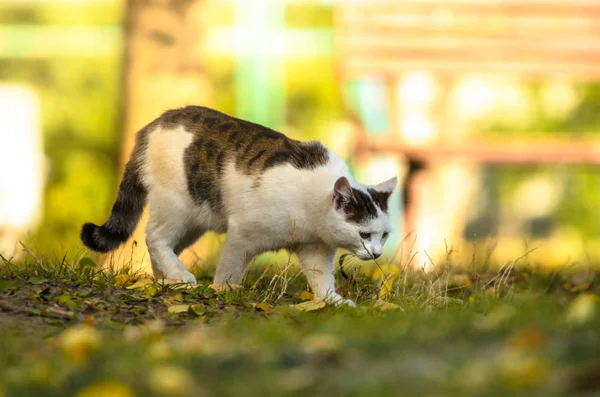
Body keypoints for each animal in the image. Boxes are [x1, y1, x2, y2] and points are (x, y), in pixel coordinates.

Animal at [81, 106, 398, 306]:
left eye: (384, 235)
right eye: (364, 234)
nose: (377, 253)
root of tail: (153, 125)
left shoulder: (315, 249)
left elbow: (322, 279)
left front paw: (332, 301)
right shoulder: (242, 233)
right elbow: (230, 269)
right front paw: (224, 290)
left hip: (194, 220)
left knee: (165, 247)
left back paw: (167, 280)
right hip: (175, 206)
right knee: (155, 238)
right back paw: (182, 278)